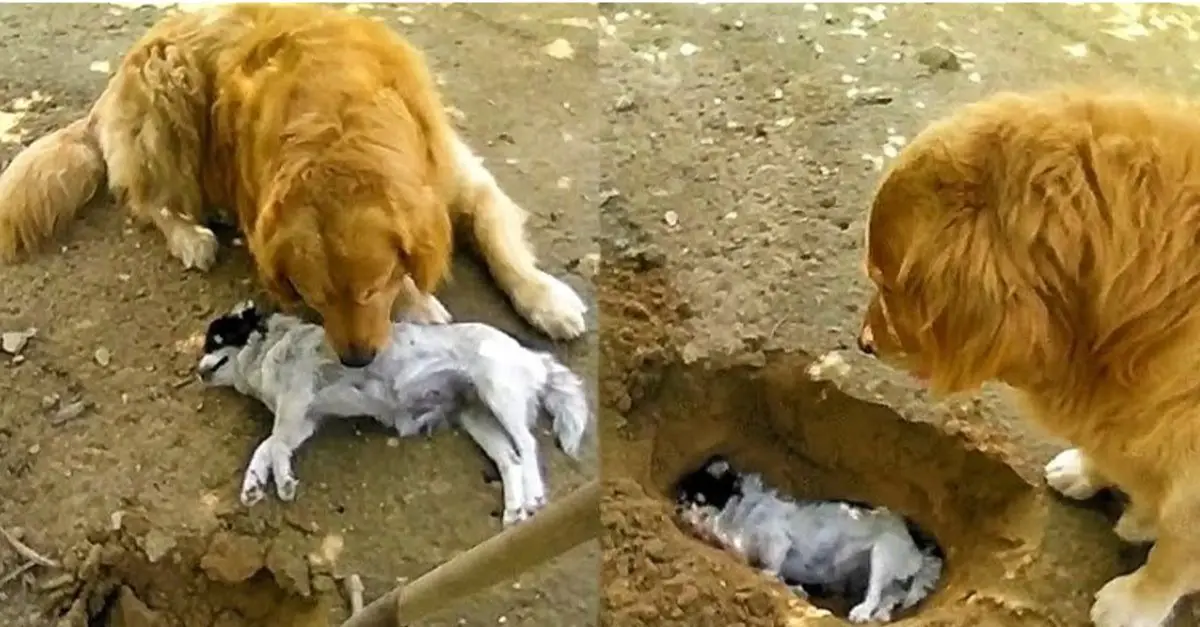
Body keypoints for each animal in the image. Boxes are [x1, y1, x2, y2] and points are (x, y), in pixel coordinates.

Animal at [0, 3, 585, 365]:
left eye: (369, 290)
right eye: (314, 299)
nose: (356, 361)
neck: (338, 123)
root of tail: (117, 76)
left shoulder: (457, 175)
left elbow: (498, 239)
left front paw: (547, 299)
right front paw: (418, 303)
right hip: (169, 96)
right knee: (150, 203)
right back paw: (192, 236)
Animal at [195, 300, 590, 523]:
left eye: (215, 342)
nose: (197, 372)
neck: (270, 348)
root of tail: (529, 354)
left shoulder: (295, 404)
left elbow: (274, 445)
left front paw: (283, 482)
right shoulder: (303, 421)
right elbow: (267, 446)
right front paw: (253, 484)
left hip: (499, 395)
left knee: (527, 445)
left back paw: (534, 495)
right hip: (478, 418)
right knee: (511, 459)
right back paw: (514, 509)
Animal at [672, 454, 940, 619]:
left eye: (697, 500)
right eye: (681, 501)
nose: (680, 512)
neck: (740, 516)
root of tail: (916, 543)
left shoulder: (777, 542)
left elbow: (767, 571)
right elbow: (773, 574)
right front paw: (795, 588)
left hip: (882, 555)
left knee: (875, 593)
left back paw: (863, 612)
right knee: (891, 595)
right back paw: (880, 615)